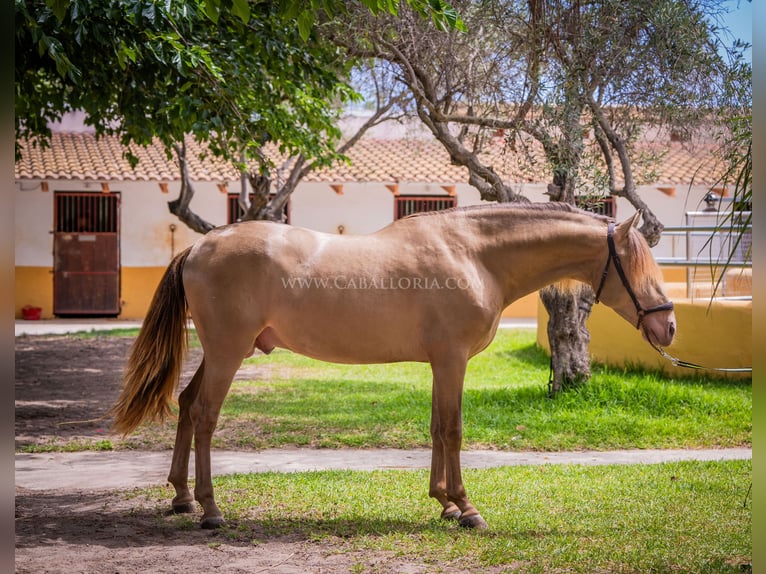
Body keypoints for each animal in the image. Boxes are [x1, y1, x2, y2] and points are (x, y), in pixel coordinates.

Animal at [109, 202, 680, 532]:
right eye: (636, 264)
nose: (669, 326)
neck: (474, 255)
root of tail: (199, 246)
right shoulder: (451, 360)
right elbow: (453, 429)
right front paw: (467, 509)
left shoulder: (439, 363)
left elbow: (435, 426)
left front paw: (443, 503)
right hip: (228, 352)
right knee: (204, 416)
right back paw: (210, 510)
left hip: (224, 352)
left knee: (186, 406)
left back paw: (182, 498)